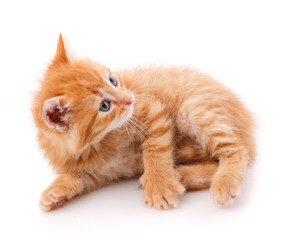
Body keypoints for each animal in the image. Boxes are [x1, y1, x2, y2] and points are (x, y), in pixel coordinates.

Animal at [32, 34, 254, 211]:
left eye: (113, 80)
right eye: (104, 106)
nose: (130, 99)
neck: (97, 144)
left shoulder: (153, 108)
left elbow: (156, 148)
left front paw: (160, 185)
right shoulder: (97, 171)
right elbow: (78, 178)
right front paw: (55, 192)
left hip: (192, 109)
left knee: (237, 148)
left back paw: (222, 182)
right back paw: (183, 175)